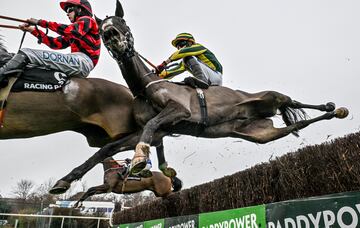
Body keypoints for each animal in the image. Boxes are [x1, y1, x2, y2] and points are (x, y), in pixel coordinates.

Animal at [51, 0, 348, 192]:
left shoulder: (178, 111)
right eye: (103, 27)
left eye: (122, 22)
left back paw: (333, 108)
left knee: (293, 102)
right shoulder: (154, 132)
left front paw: (138, 161)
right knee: (295, 125)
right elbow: (108, 148)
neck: (145, 86)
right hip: (261, 134)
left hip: (270, 97)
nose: (112, 34)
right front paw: (65, 180)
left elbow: (150, 125)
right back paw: (325, 115)